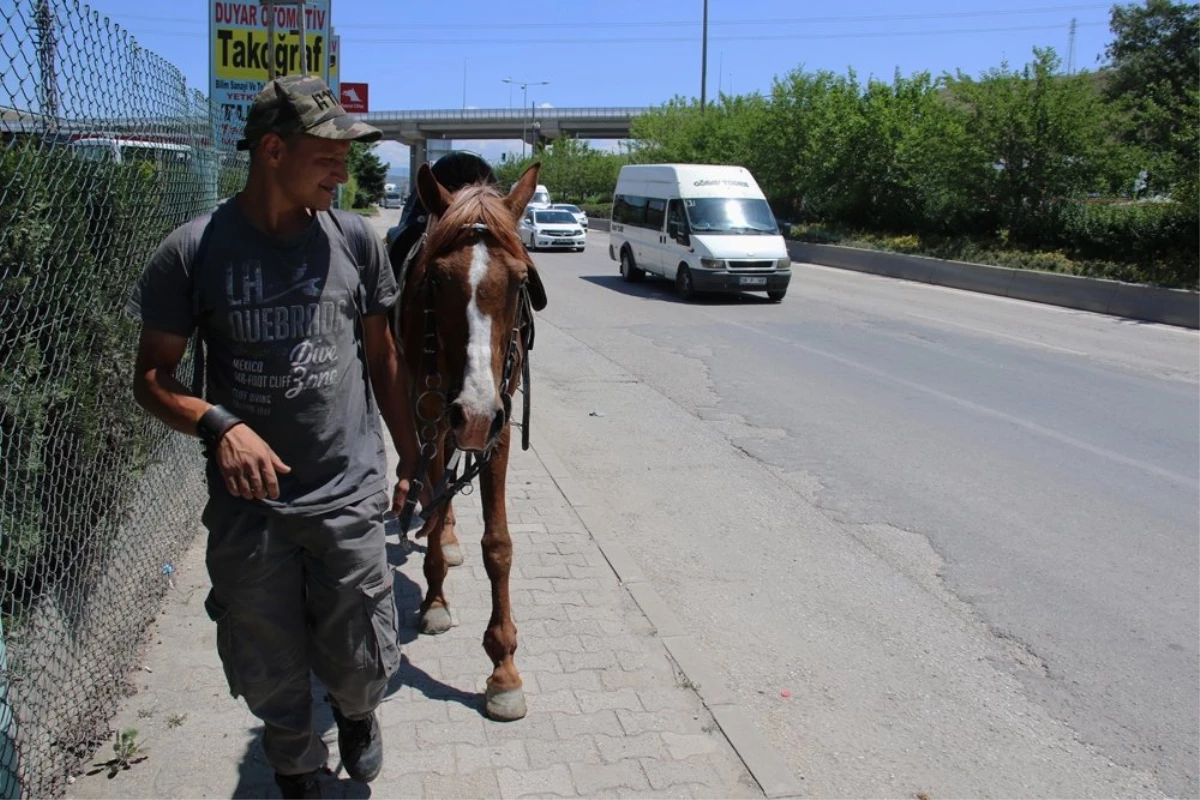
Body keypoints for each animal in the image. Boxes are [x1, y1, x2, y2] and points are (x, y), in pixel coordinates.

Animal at [391, 165, 547, 724]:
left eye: (522, 280)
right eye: (435, 280)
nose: (475, 414)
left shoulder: (498, 420)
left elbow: (498, 545)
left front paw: (504, 669)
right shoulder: (433, 412)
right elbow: (435, 502)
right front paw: (435, 600)